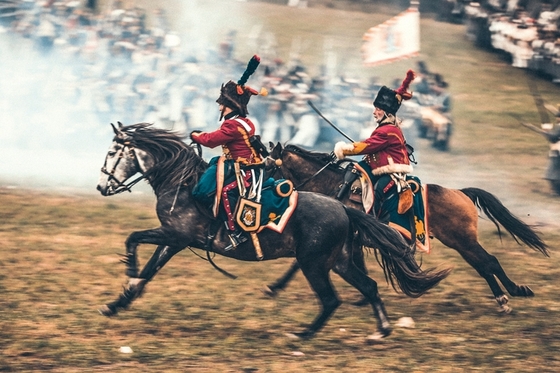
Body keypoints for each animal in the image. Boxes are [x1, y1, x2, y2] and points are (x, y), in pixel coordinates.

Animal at [93, 122, 450, 338]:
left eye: (112, 152)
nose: (101, 187)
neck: (182, 183)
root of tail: (344, 209)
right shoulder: (175, 239)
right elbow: (150, 269)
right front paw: (117, 303)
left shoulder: (175, 235)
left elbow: (133, 240)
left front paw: (129, 275)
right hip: (340, 261)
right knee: (369, 287)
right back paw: (381, 329)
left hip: (314, 264)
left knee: (331, 300)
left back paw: (303, 334)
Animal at [264, 144, 548, 312]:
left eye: (268, 167)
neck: (333, 187)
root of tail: (461, 192)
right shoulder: (350, 240)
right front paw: (363, 297)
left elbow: (298, 263)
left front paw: (274, 287)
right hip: (462, 244)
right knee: (484, 266)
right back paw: (504, 297)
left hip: (463, 241)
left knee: (489, 262)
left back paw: (512, 293)